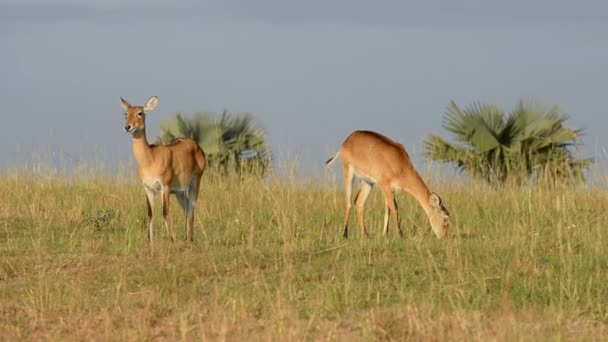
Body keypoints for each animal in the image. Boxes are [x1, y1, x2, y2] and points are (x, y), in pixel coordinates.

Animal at [121, 96, 207, 244]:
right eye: (126, 113)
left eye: (140, 113)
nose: (128, 127)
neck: (150, 158)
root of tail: (196, 146)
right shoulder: (148, 188)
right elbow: (150, 214)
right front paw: (150, 244)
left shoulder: (164, 187)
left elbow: (165, 212)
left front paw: (171, 241)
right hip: (179, 192)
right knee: (186, 209)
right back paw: (187, 238)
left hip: (195, 184)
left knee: (191, 208)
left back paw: (189, 240)